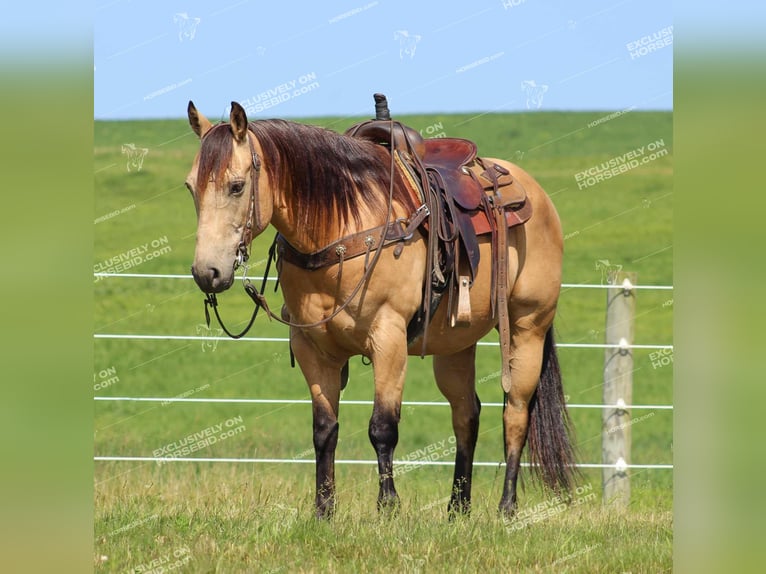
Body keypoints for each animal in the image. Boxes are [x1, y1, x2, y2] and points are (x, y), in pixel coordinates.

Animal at [184, 95, 576, 520]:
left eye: (237, 186)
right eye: (190, 187)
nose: (207, 272)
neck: (341, 230)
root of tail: (535, 194)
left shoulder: (388, 339)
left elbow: (383, 427)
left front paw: (388, 507)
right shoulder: (312, 348)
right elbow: (325, 430)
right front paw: (324, 510)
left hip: (527, 328)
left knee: (515, 413)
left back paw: (506, 508)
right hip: (456, 345)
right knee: (466, 415)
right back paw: (457, 508)